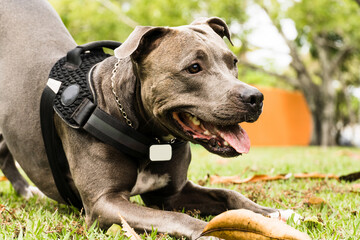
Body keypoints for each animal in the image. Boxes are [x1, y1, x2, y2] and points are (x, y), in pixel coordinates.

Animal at [0, 0, 298, 238]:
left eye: (233, 62)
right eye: (193, 68)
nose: (255, 97)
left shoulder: (172, 192)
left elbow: (229, 194)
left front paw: (271, 214)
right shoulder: (104, 202)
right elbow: (174, 217)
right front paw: (210, 232)